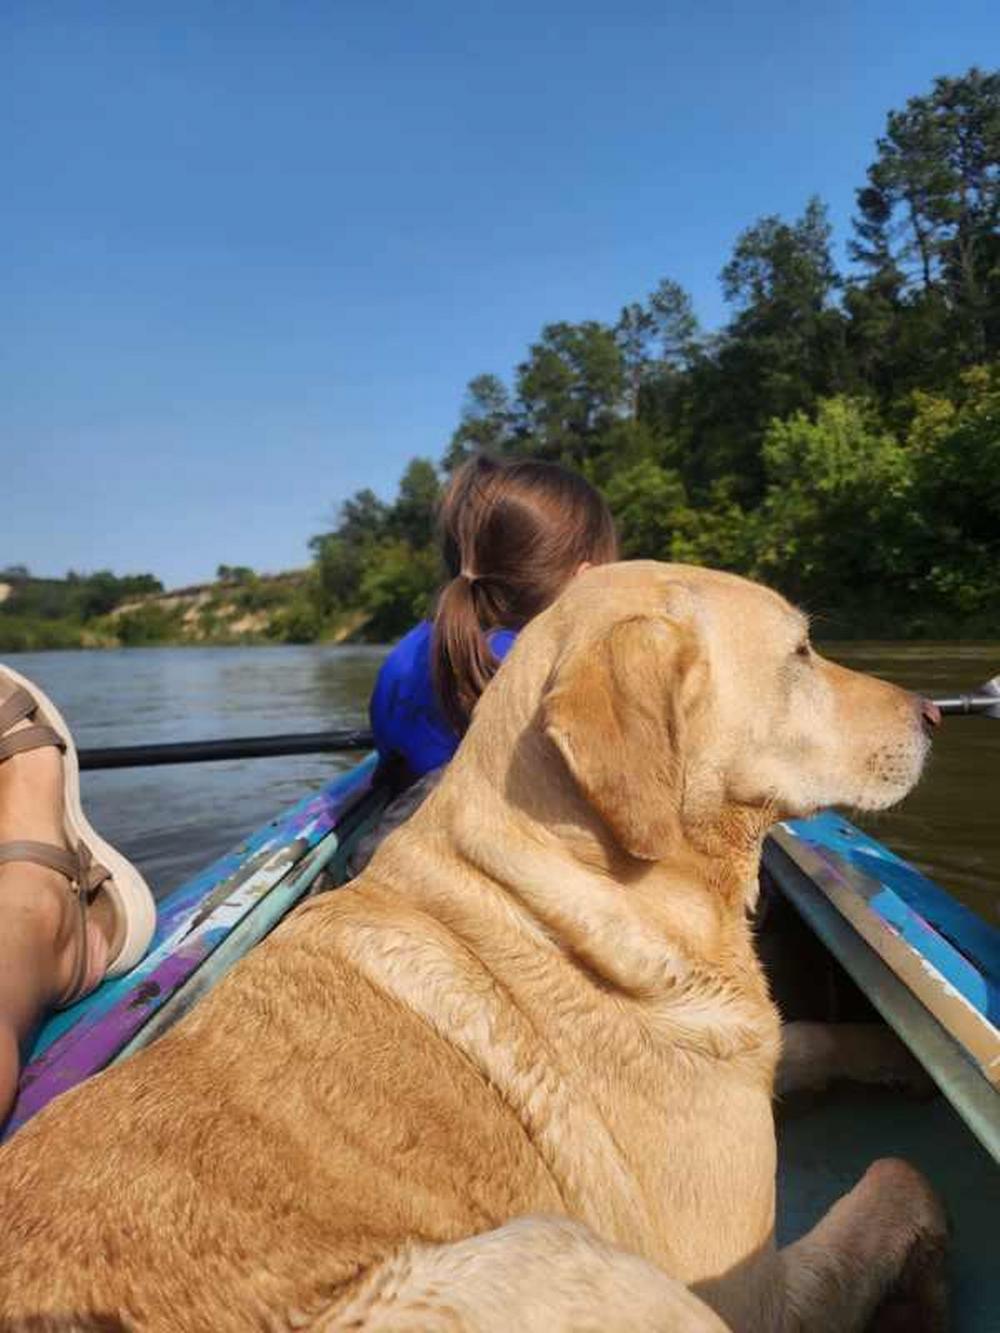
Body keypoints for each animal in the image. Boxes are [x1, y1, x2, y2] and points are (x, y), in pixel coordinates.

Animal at [0, 562, 944, 1333]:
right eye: (802, 651)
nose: (937, 712)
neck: (570, 897)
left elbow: (811, 1036)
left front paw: (891, 1054)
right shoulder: (747, 1290)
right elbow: (897, 1177)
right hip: (558, 1255)